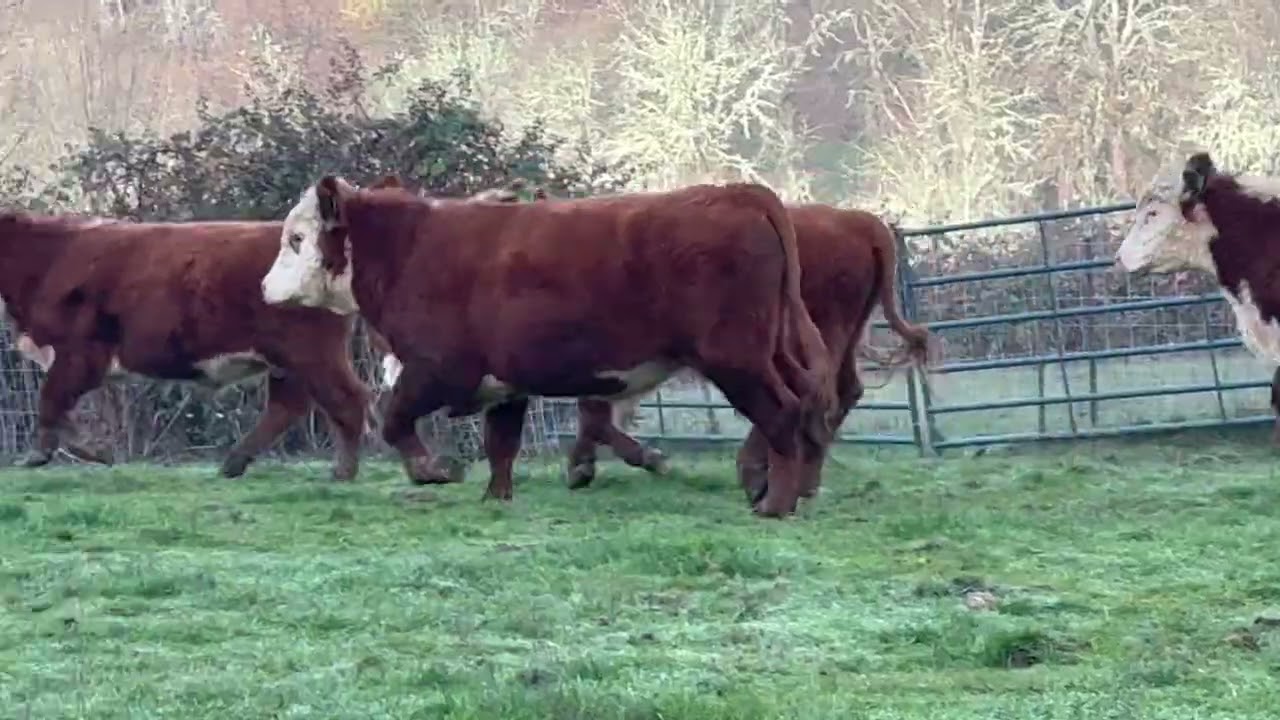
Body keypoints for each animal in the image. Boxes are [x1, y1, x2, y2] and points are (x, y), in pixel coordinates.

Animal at [0, 211, 370, 479]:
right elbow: (53, 406)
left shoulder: (79, 353)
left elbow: (49, 401)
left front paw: (87, 452)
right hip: (287, 360)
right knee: (287, 407)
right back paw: (234, 463)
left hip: (312, 352)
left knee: (346, 398)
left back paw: (343, 471)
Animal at [259, 176, 836, 518]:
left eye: (296, 239)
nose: (265, 288)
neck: (408, 248)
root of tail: (736, 191)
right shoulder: (506, 384)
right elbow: (501, 445)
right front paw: (496, 498)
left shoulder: (438, 370)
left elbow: (394, 419)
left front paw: (434, 471)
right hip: (772, 350)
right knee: (809, 406)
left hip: (736, 359)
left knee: (783, 413)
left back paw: (775, 503)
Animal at [369, 194, 931, 501]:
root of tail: (860, 222)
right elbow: (593, 414)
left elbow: (594, 414)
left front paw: (605, 464)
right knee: (832, 396)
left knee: (809, 401)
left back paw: (768, 476)